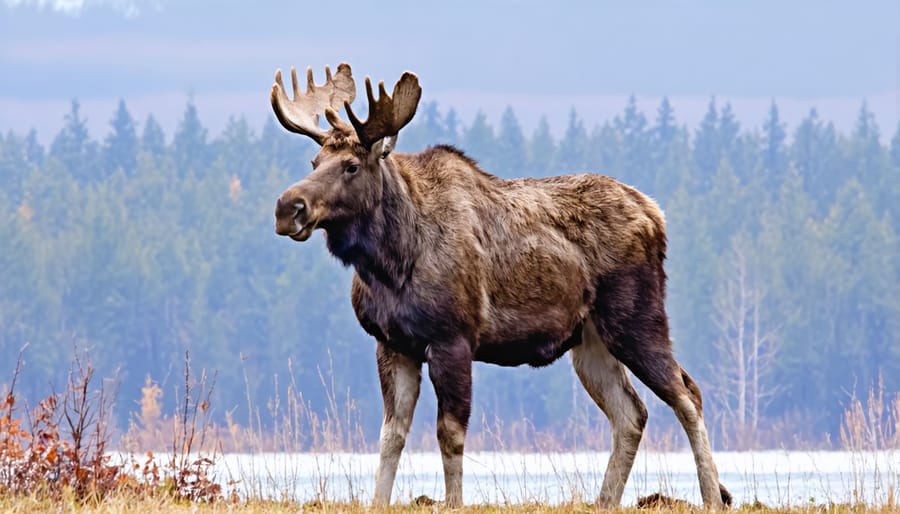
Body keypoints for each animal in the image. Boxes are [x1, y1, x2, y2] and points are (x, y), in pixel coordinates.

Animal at [270, 63, 731, 509]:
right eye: (313, 162)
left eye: (351, 166)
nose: (287, 208)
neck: (390, 265)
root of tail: (656, 214)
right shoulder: (392, 342)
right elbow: (391, 435)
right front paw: (379, 502)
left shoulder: (453, 338)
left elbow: (449, 434)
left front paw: (453, 503)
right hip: (590, 341)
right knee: (631, 413)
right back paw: (605, 501)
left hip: (636, 319)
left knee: (687, 394)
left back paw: (712, 497)